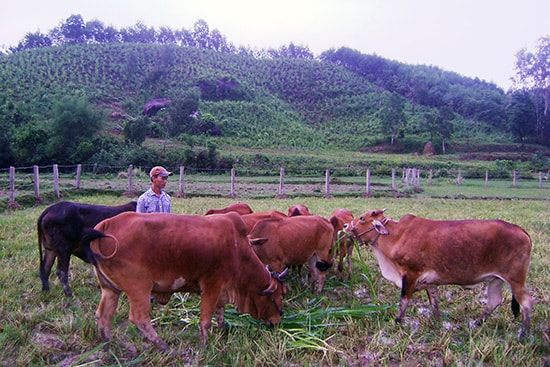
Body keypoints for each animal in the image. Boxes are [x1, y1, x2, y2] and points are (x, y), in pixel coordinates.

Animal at [85, 211, 288, 350]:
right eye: (280, 295)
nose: (277, 322)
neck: (239, 250)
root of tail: (106, 224)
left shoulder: (222, 289)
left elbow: (220, 313)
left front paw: (223, 332)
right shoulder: (212, 285)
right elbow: (205, 319)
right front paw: (205, 345)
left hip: (110, 288)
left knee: (104, 315)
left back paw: (108, 345)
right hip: (139, 288)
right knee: (139, 319)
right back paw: (164, 347)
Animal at [344, 210, 536, 340]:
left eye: (362, 218)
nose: (346, 226)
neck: (397, 236)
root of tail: (522, 230)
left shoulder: (410, 275)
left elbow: (403, 301)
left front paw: (397, 321)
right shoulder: (430, 283)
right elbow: (434, 303)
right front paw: (437, 323)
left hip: (516, 279)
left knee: (526, 302)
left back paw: (524, 334)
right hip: (495, 279)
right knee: (494, 301)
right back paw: (477, 323)